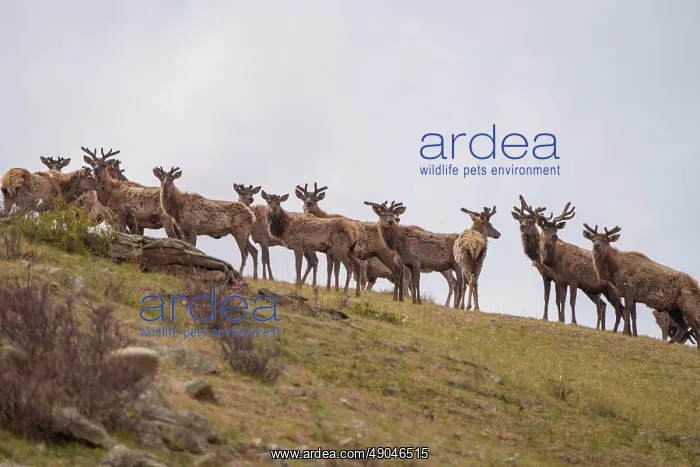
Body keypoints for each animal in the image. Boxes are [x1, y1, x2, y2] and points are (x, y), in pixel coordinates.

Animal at [524, 201, 625, 333]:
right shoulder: (560, 280)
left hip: (612, 289)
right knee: (615, 308)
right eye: (545, 228)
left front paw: (573, 321)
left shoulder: (573, 279)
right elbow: (561, 300)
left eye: (556, 228)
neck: (555, 261)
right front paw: (561, 319)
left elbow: (572, 302)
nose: (554, 236)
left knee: (620, 310)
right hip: (603, 290)